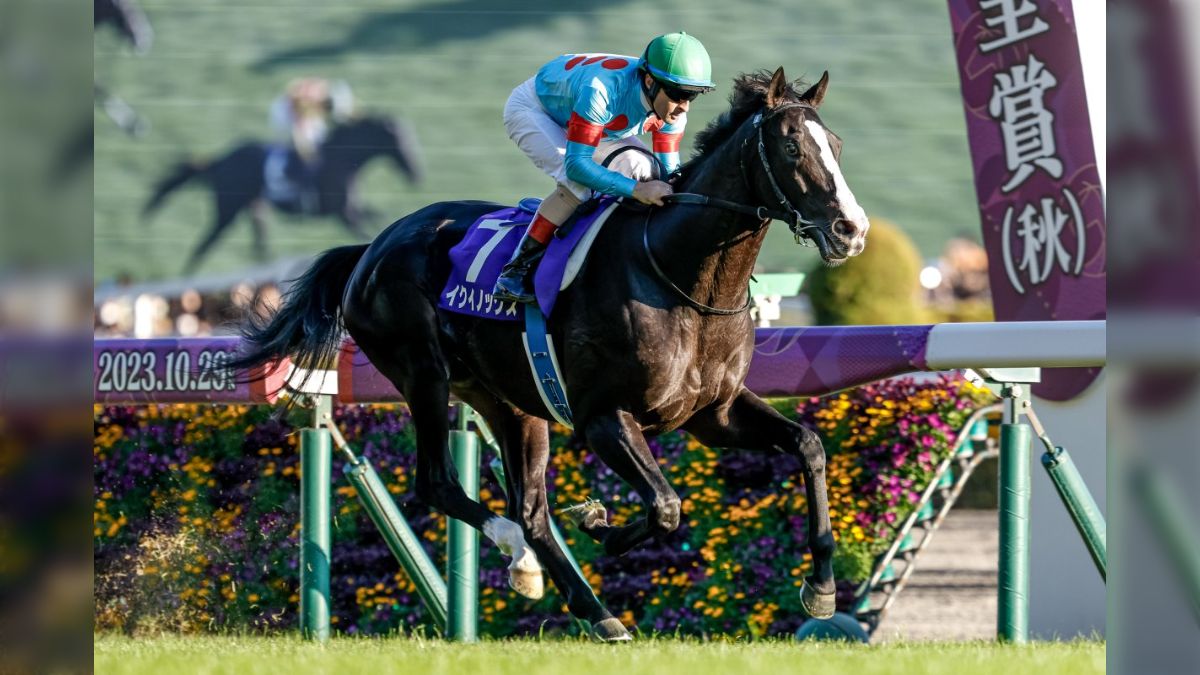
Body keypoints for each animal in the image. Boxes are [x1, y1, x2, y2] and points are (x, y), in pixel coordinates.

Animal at [142, 115, 423, 274]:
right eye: (400, 141)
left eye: (411, 140)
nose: (416, 173)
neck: (340, 160)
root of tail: (219, 162)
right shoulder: (342, 214)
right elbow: (366, 230)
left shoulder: (350, 209)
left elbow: (375, 218)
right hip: (227, 211)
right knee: (203, 246)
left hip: (255, 209)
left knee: (257, 247)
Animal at [230, 68, 869, 641]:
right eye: (791, 147)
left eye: (836, 145)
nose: (851, 229)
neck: (682, 278)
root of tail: (371, 248)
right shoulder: (603, 418)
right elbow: (665, 506)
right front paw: (600, 524)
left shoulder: (712, 414)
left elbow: (808, 445)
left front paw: (821, 589)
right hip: (424, 375)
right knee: (440, 485)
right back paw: (525, 556)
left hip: (509, 403)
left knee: (531, 511)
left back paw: (587, 605)